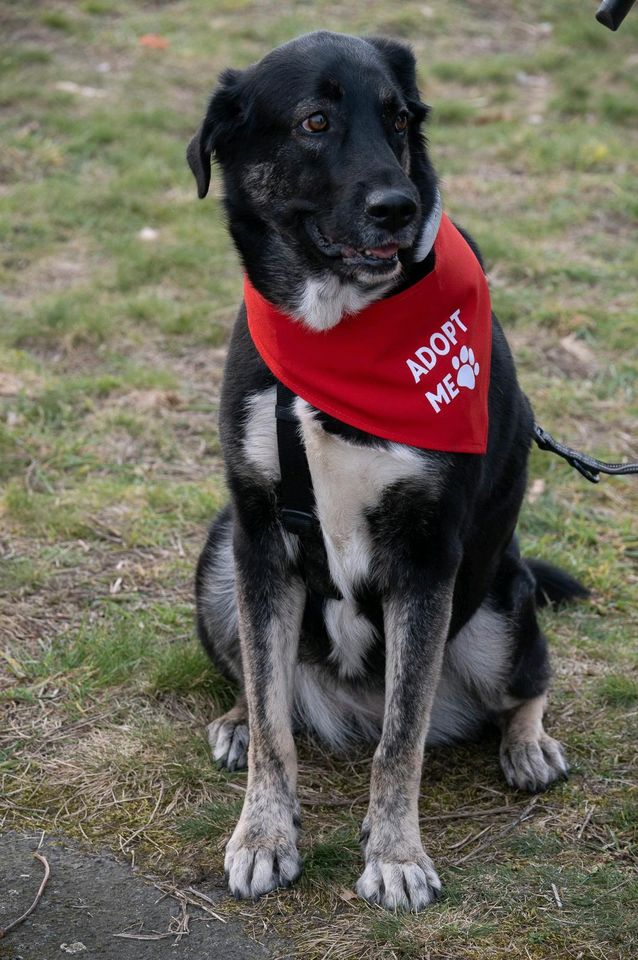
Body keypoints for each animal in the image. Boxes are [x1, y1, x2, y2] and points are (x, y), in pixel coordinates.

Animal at [186, 30, 584, 912]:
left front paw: (397, 855)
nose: (398, 208)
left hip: (497, 612)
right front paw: (263, 834)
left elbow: (402, 741)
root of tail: (346, 702)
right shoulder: (260, 539)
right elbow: (274, 722)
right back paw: (236, 720)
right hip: (220, 559)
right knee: (264, 688)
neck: (335, 330)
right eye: (315, 120)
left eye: (399, 119)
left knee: (520, 682)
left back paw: (528, 743)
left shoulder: (426, 559)